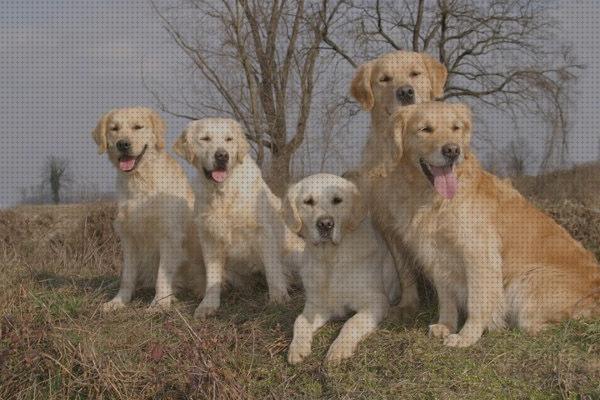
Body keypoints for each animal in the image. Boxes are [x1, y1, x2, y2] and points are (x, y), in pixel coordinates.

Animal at [91, 106, 204, 310]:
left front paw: (160, 304)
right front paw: (118, 302)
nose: (122, 144)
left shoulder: (168, 235)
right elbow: (127, 277)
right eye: (114, 128)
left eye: (138, 127)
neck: (139, 182)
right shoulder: (128, 238)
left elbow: (162, 276)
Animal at [173, 117, 296, 318]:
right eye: (205, 138)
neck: (224, 193)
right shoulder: (209, 238)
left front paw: (278, 297)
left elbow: (272, 268)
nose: (222, 156)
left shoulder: (263, 232)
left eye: (229, 139)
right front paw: (208, 305)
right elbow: (212, 276)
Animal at [282, 173, 396, 364]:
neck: (330, 260)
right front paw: (297, 348)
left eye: (337, 200)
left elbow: (351, 323)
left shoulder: (376, 300)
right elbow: (299, 321)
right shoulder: (317, 305)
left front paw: (339, 349)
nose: (325, 224)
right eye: (308, 201)